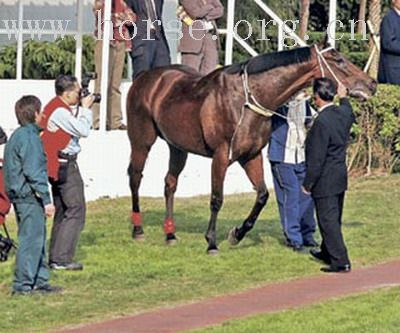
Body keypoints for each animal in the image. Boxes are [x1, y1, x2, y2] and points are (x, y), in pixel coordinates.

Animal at [126, 38, 376, 252]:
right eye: (338, 59)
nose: (371, 83)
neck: (244, 99)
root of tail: (145, 78)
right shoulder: (221, 155)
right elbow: (217, 199)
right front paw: (211, 242)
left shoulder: (251, 155)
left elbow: (263, 195)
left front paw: (237, 234)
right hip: (141, 141)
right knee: (135, 177)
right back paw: (138, 229)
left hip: (177, 146)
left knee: (170, 183)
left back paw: (170, 233)